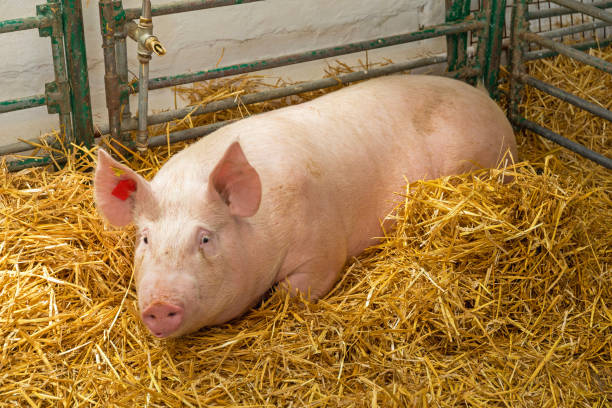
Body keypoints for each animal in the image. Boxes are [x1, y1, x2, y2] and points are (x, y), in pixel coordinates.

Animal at [94, 74, 516, 338]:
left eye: (205, 239)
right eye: (145, 239)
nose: (158, 305)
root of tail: (487, 100)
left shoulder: (323, 248)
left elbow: (293, 291)